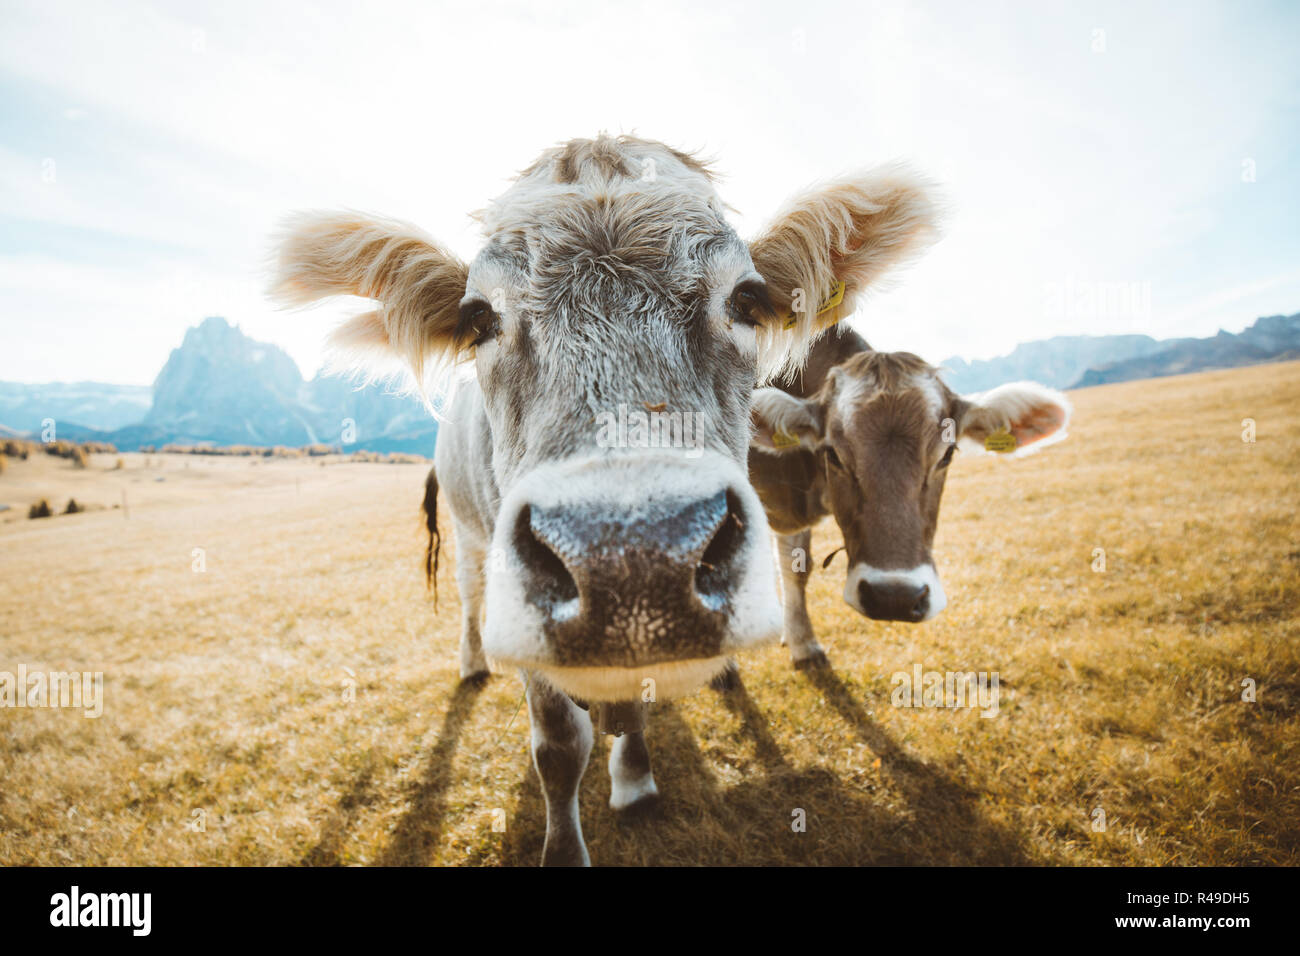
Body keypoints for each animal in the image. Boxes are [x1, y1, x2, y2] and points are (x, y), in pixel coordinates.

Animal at [271, 135, 940, 865]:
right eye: (478, 318)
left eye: (747, 299)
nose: (636, 565)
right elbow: (560, 750)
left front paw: (636, 779)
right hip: (470, 532)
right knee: (470, 594)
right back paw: (472, 662)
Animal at [748, 323, 1071, 669]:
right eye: (832, 454)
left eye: (947, 455)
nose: (894, 598)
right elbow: (789, 567)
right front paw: (798, 644)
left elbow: (797, 568)